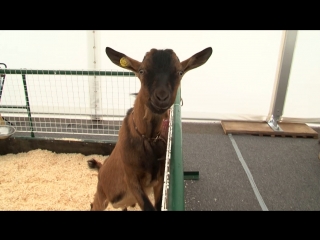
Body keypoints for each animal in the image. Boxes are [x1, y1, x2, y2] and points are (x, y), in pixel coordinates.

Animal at [87, 46, 212, 210]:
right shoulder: (131, 178)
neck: (148, 137)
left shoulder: (159, 179)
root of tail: (101, 169)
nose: (161, 97)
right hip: (102, 194)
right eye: (142, 70)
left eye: (180, 72)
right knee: (93, 204)